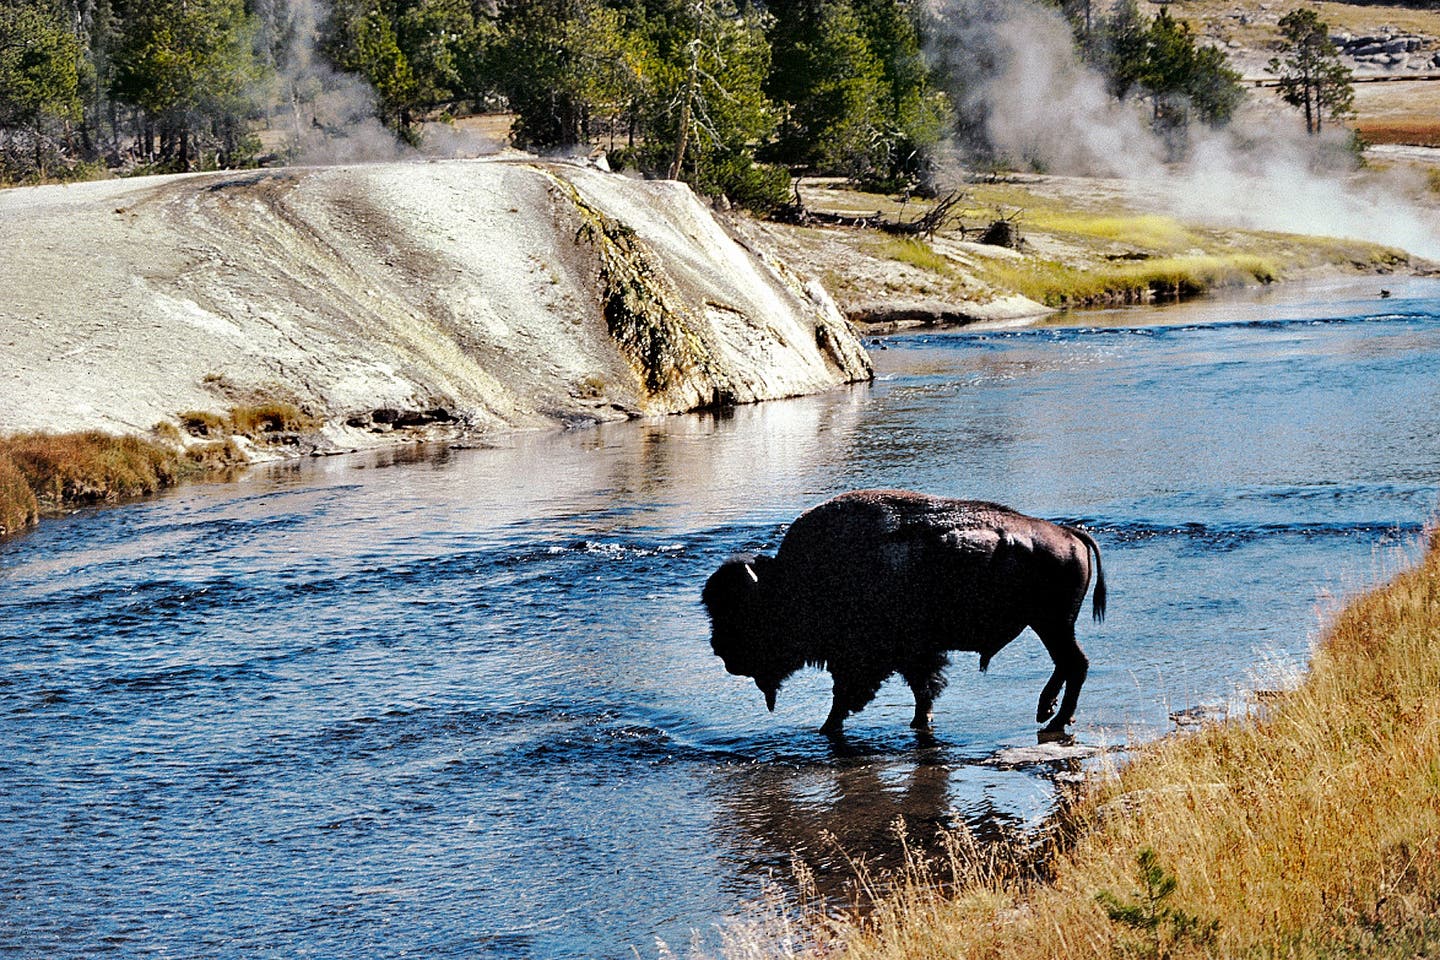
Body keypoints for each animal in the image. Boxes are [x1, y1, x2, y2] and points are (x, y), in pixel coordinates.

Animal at [702, 492, 1105, 742]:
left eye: (744, 614)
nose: (721, 653)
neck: (792, 581)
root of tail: (1068, 533)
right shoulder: (913, 655)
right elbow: (921, 690)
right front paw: (918, 720)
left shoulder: (867, 659)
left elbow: (848, 696)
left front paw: (828, 728)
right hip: (1049, 624)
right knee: (1068, 664)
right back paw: (1047, 711)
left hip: (1052, 624)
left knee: (1075, 664)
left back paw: (1055, 718)